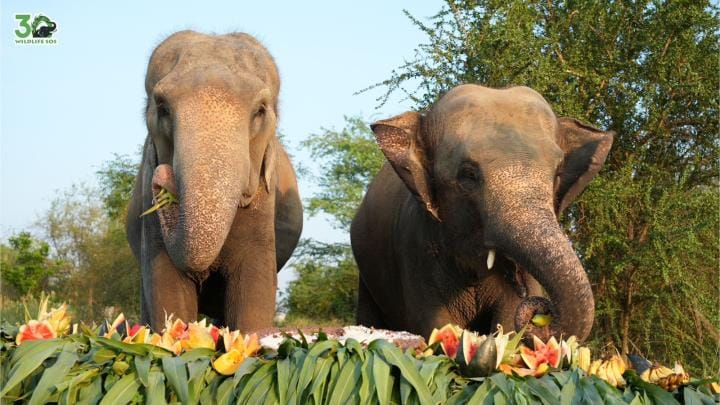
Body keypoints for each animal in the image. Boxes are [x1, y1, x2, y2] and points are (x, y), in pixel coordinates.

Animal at [126, 31, 303, 332]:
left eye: (260, 110)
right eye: (162, 107)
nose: (163, 176)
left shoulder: (263, 204)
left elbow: (255, 290)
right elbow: (165, 286)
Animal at [351, 84, 613, 342]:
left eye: (557, 174)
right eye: (468, 175)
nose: (540, 309)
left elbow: (507, 319)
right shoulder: (415, 247)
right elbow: (434, 323)